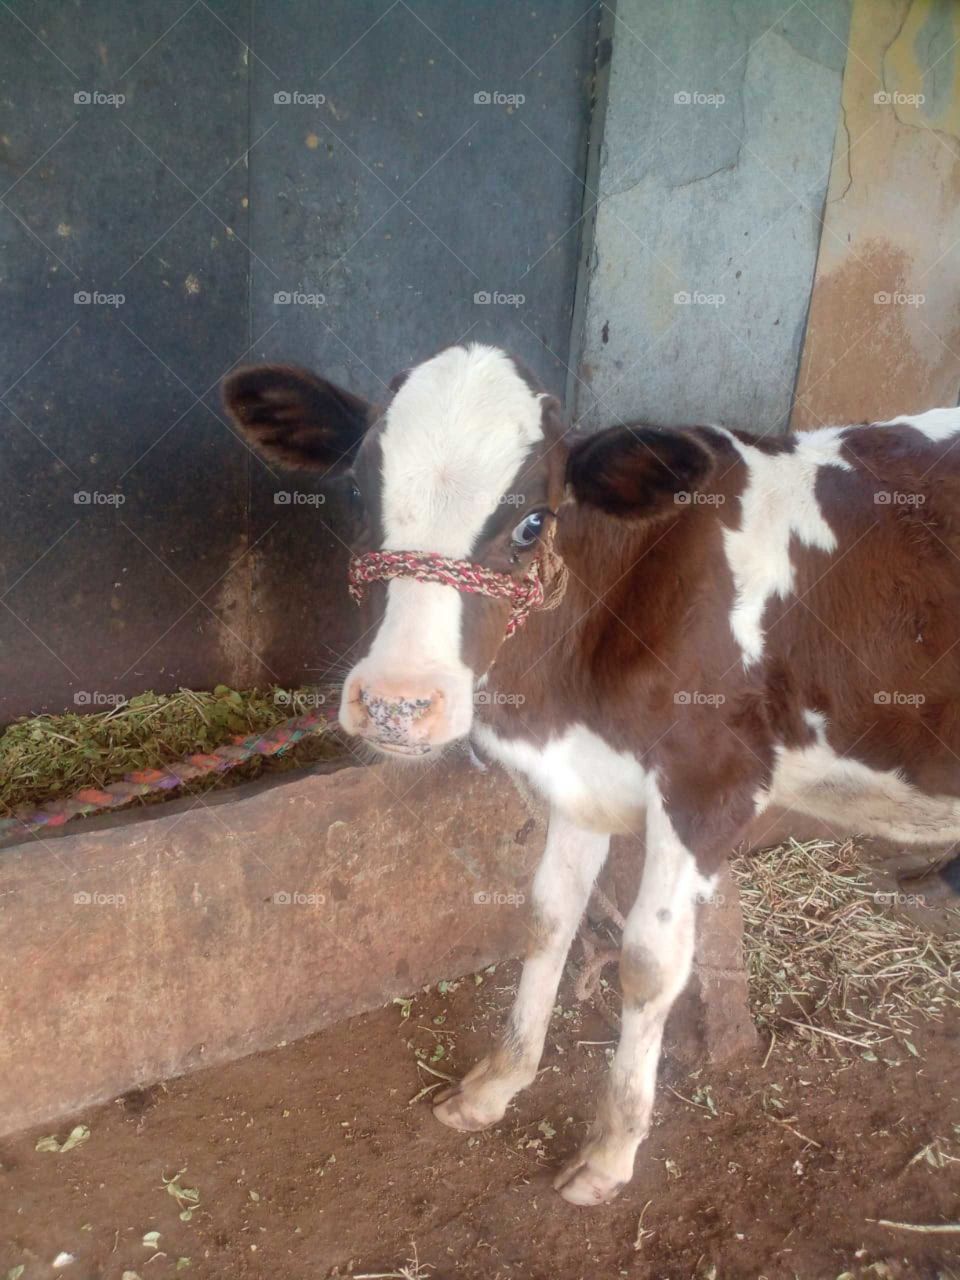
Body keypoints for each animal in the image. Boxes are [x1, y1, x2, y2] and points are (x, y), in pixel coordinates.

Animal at [223, 343, 960, 1206]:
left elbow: (648, 965)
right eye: (356, 495)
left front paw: (610, 1151)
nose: (398, 704)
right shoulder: (581, 778)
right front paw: (495, 1085)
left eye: (532, 521)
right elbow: (548, 918)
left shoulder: (708, 787)